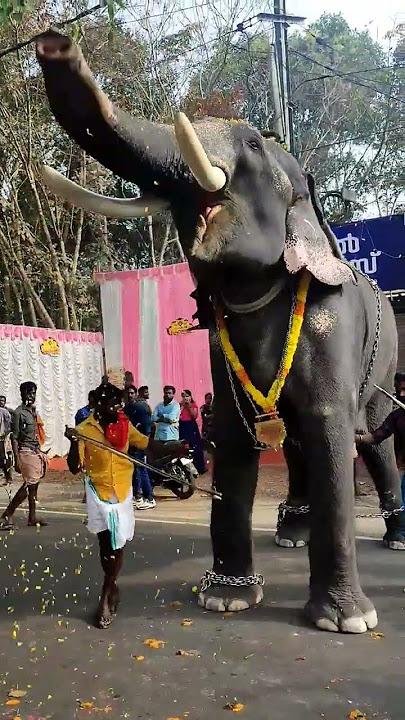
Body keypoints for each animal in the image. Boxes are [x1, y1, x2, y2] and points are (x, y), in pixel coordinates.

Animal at [35, 31, 404, 632]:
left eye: (252, 143)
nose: (55, 42)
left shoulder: (332, 323)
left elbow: (329, 425)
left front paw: (345, 621)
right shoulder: (217, 346)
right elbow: (233, 432)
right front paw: (223, 601)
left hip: (384, 366)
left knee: (371, 438)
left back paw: (392, 540)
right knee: (296, 443)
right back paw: (290, 537)